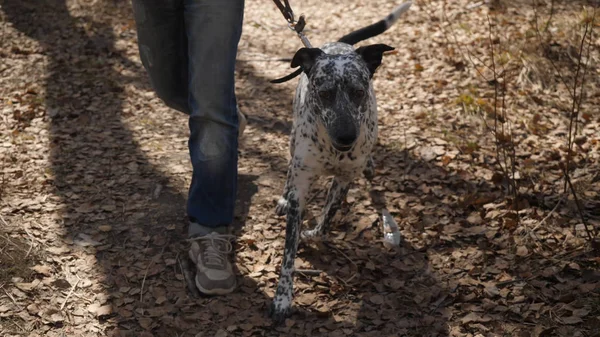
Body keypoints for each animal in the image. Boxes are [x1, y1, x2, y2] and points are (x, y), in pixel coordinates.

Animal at [268, 3, 412, 322]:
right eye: (324, 93)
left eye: (359, 91)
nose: (347, 136)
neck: (332, 151)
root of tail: (338, 44)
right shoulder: (302, 186)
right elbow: (288, 252)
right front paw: (282, 298)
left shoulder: (345, 179)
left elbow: (327, 220)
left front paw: (312, 234)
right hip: (294, 144)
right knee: (289, 170)